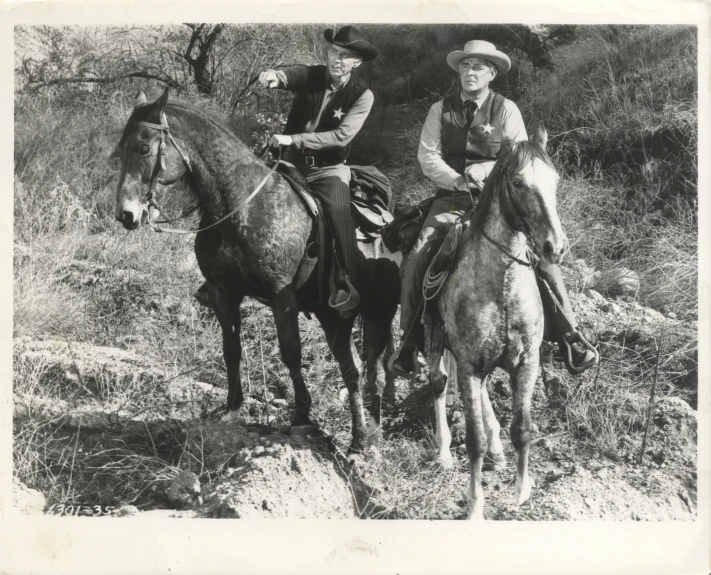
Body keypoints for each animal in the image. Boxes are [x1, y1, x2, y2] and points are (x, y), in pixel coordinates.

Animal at [114, 89, 398, 454]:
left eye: (144, 148)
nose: (126, 214)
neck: (242, 205)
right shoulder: (222, 293)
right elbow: (231, 349)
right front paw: (233, 408)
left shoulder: (281, 296)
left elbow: (291, 352)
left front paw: (302, 413)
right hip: (334, 318)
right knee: (352, 371)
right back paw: (361, 436)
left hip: (376, 318)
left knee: (374, 372)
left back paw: (368, 437)